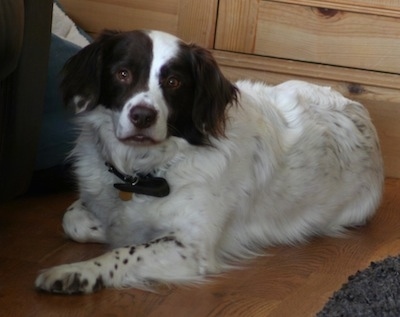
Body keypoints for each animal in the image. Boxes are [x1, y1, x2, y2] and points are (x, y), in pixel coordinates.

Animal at [34, 30, 384, 294]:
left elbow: (124, 252)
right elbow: (73, 219)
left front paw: (79, 271)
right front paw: (110, 229)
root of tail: (360, 110)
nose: (143, 116)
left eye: (174, 82)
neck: (144, 172)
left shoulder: (192, 247)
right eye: (123, 74)